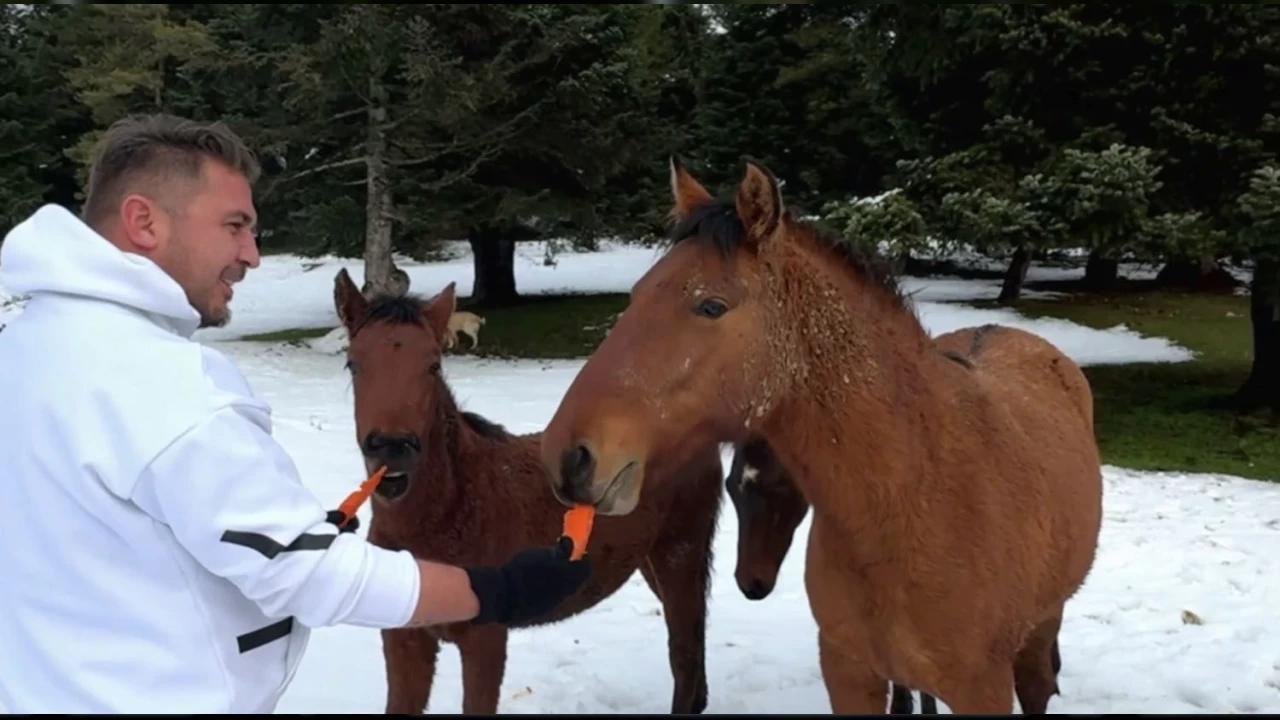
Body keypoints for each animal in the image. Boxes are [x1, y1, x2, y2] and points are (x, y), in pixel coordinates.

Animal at [332, 267, 732, 712]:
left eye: (433, 366)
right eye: (353, 364)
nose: (392, 447)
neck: (452, 510)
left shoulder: (486, 641)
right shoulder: (404, 638)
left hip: (680, 551)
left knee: (684, 654)